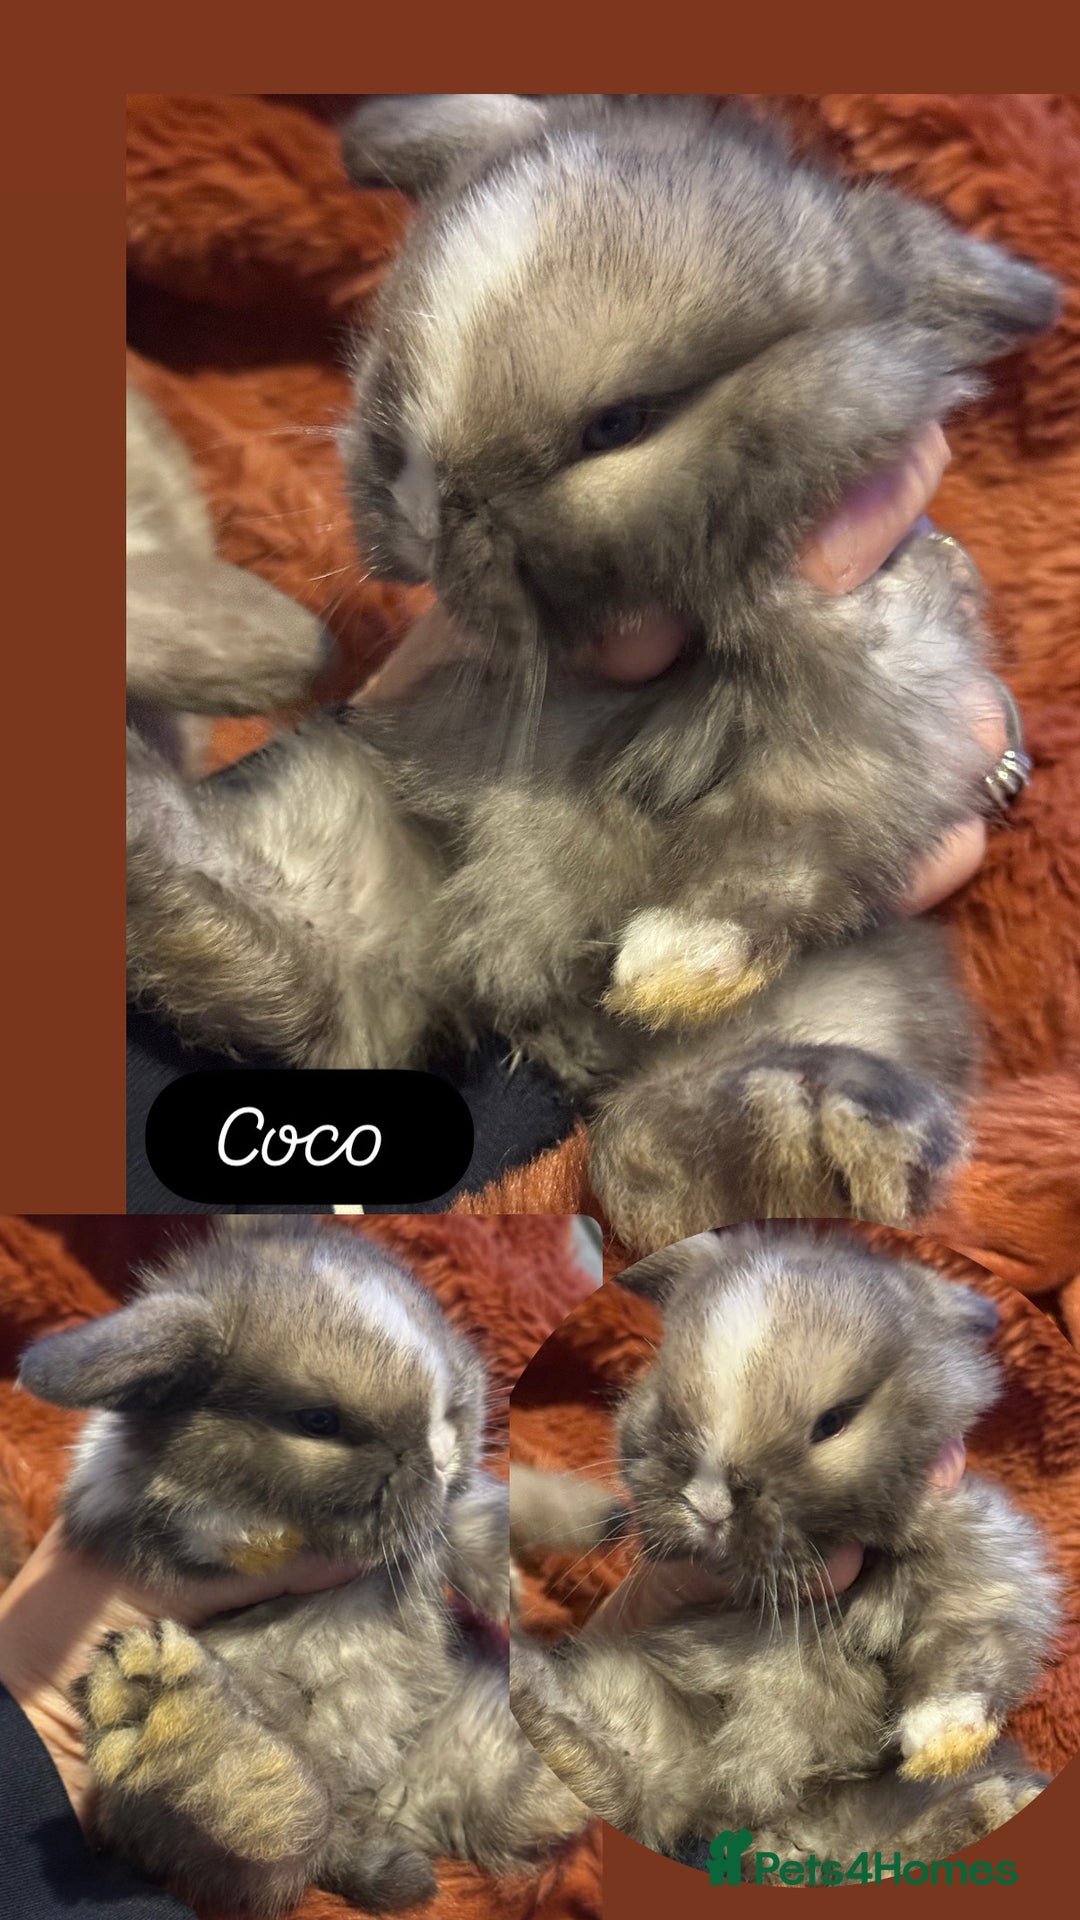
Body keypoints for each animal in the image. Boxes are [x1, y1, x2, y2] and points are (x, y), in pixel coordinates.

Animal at [19, 1218, 587, 1915]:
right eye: (317, 1421)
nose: (438, 1453)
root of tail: (376, 1817)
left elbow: (465, 1514)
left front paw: (506, 1585)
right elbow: (215, 1526)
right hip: (178, 1819)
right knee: (285, 1831)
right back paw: (167, 1713)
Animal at [126, 94, 1060, 1251]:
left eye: (620, 423)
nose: (427, 507)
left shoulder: (881, 686)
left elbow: (789, 832)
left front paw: (669, 965)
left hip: (859, 993)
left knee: (642, 1160)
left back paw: (823, 1131)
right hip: (341, 840)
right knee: (270, 965)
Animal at [508, 1225, 1062, 1874]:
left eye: (834, 1422)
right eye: (661, 1392)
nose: (709, 1503)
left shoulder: (976, 1555)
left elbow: (966, 1645)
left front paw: (940, 1746)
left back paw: (997, 1804)